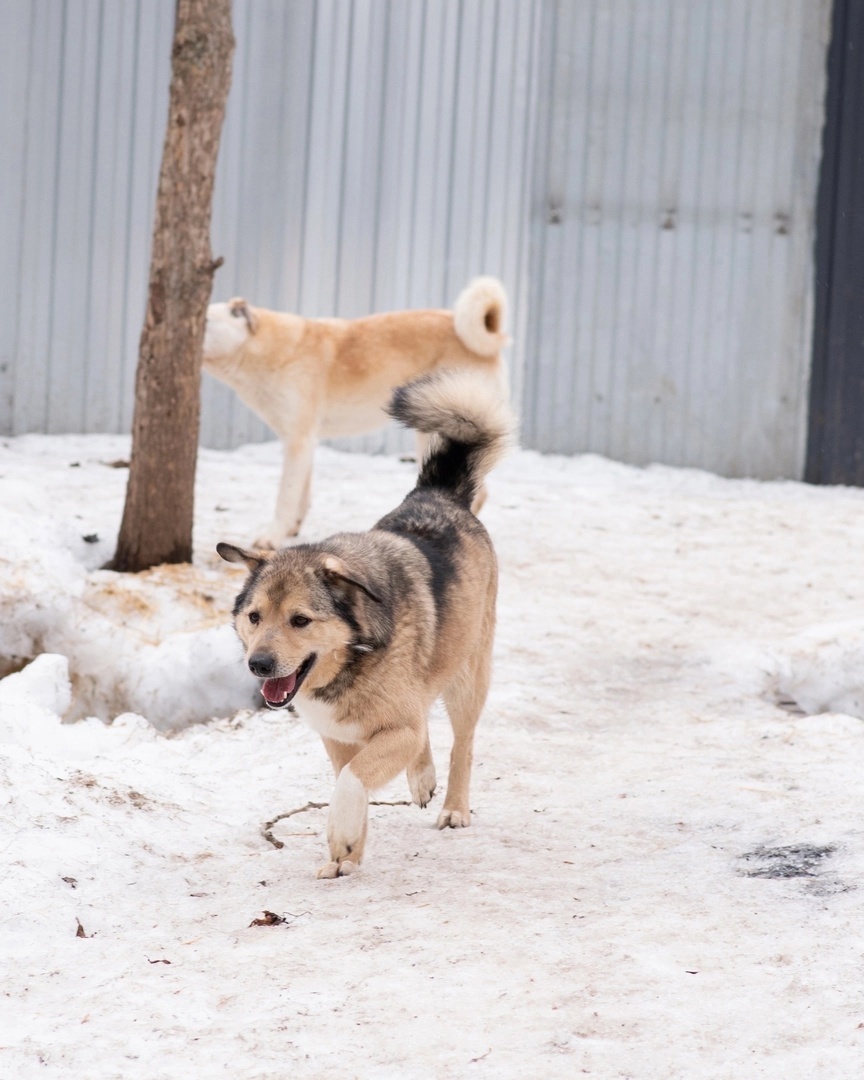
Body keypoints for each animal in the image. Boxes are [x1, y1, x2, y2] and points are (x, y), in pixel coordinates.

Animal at [204, 276, 505, 548]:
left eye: (206, 321)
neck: (262, 348)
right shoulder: (306, 441)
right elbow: (302, 493)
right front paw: (292, 530)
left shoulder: (298, 440)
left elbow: (285, 497)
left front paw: (272, 537)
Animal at [218, 371, 514, 876]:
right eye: (254, 617)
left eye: (300, 620)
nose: (259, 665)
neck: (353, 657)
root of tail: (437, 492)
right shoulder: (339, 737)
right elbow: (348, 781)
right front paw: (348, 854)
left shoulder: (395, 731)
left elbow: (350, 784)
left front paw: (341, 838)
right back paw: (422, 779)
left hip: (467, 677)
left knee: (463, 742)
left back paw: (454, 808)